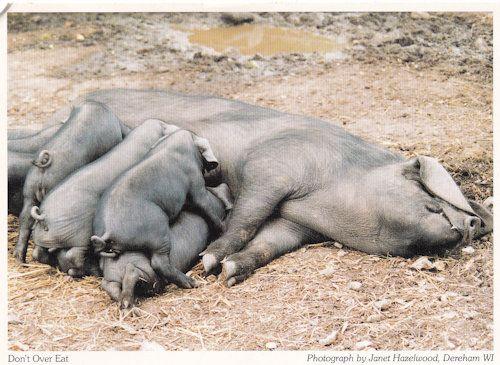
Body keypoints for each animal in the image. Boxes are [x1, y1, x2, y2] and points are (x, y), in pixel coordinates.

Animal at [31, 118, 171, 274]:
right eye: (164, 126)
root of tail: (44, 215)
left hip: (43, 238)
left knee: (38, 253)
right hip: (80, 234)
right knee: (73, 254)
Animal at [92, 126, 227, 288]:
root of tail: (108, 230)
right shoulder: (195, 182)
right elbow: (205, 204)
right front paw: (224, 228)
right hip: (157, 230)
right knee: (159, 262)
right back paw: (192, 283)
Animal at [100, 185, 232, 308]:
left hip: (119, 280)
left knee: (110, 286)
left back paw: (129, 305)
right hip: (149, 271)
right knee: (136, 271)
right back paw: (193, 283)